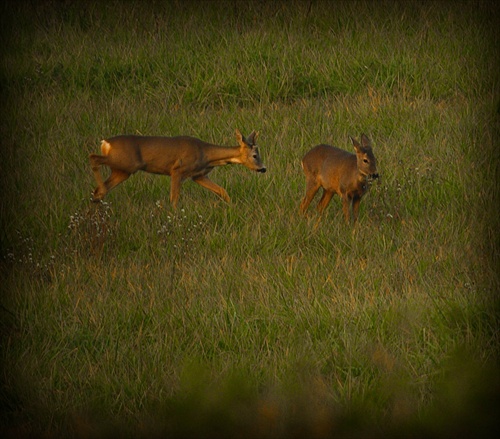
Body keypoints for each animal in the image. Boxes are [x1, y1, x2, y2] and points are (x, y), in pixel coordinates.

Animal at [91, 129, 268, 208]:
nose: (263, 168)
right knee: (93, 158)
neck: (205, 154)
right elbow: (174, 199)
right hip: (125, 163)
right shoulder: (177, 170)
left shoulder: (198, 175)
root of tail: (105, 143)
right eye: (255, 155)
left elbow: (221, 190)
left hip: (122, 171)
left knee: (100, 189)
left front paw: (231, 207)